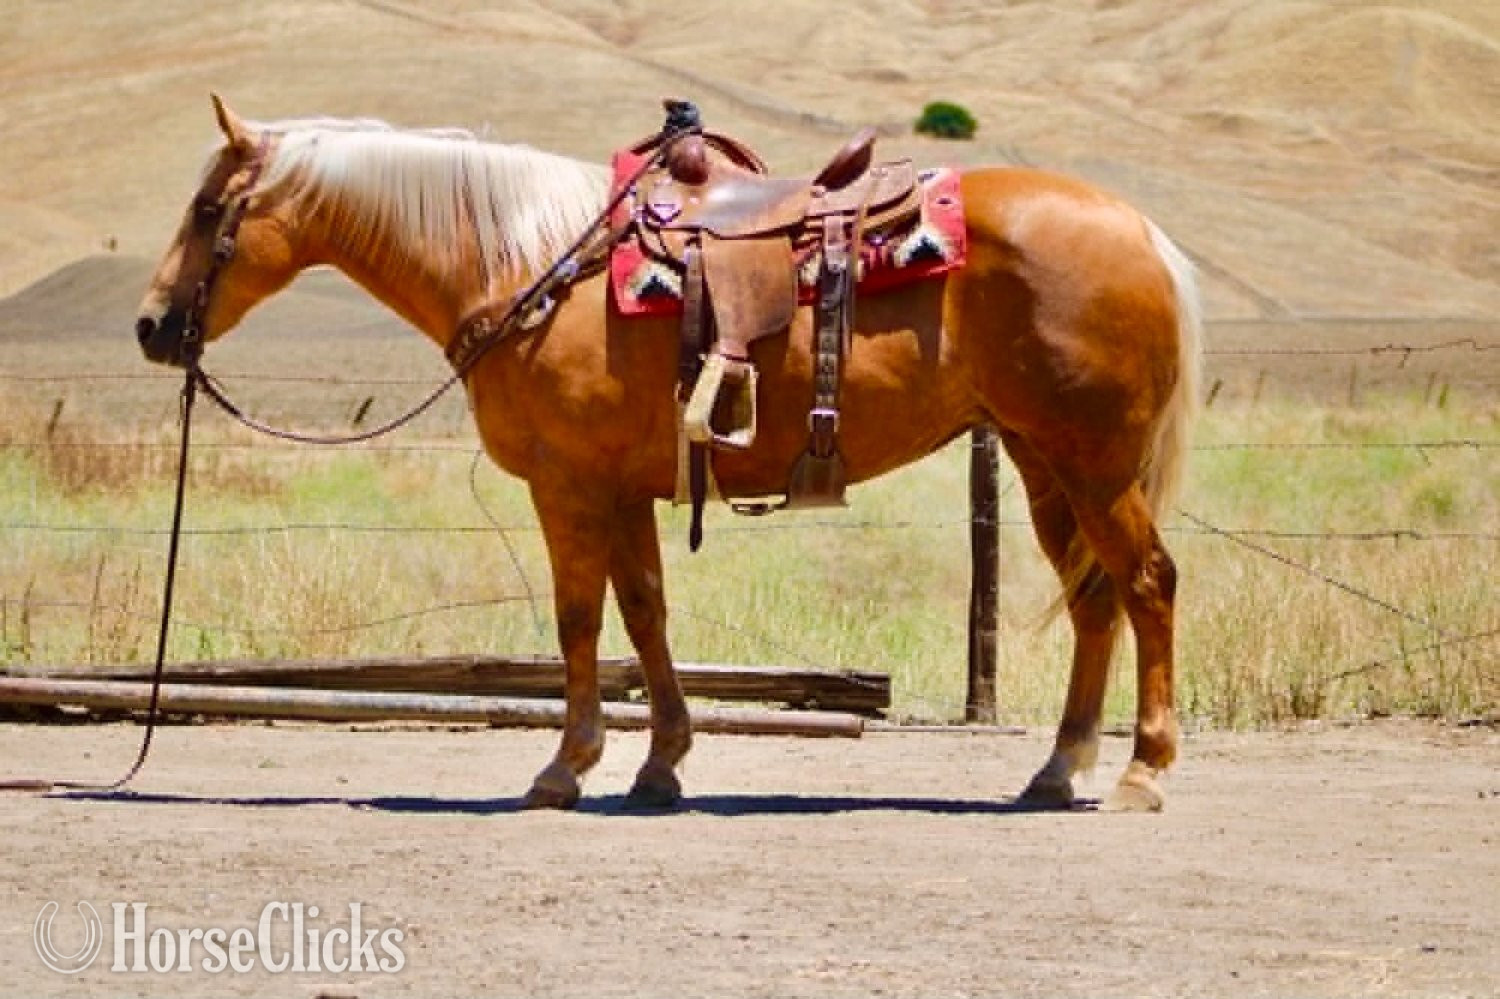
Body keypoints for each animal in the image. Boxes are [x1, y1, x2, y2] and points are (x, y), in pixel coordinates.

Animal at [136, 96, 1201, 812]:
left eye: (207, 209)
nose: (151, 326)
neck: (528, 265)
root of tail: (1144, 232)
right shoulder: (624, 490)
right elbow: (644, 613)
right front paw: (660, 764)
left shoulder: (568, 485)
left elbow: (578, 621)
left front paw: (564, 767)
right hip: (1043, 461)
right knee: (1096, 599)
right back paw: (1056, 769)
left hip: (1093, 462)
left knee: (1148, 582)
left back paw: (1141, 771)